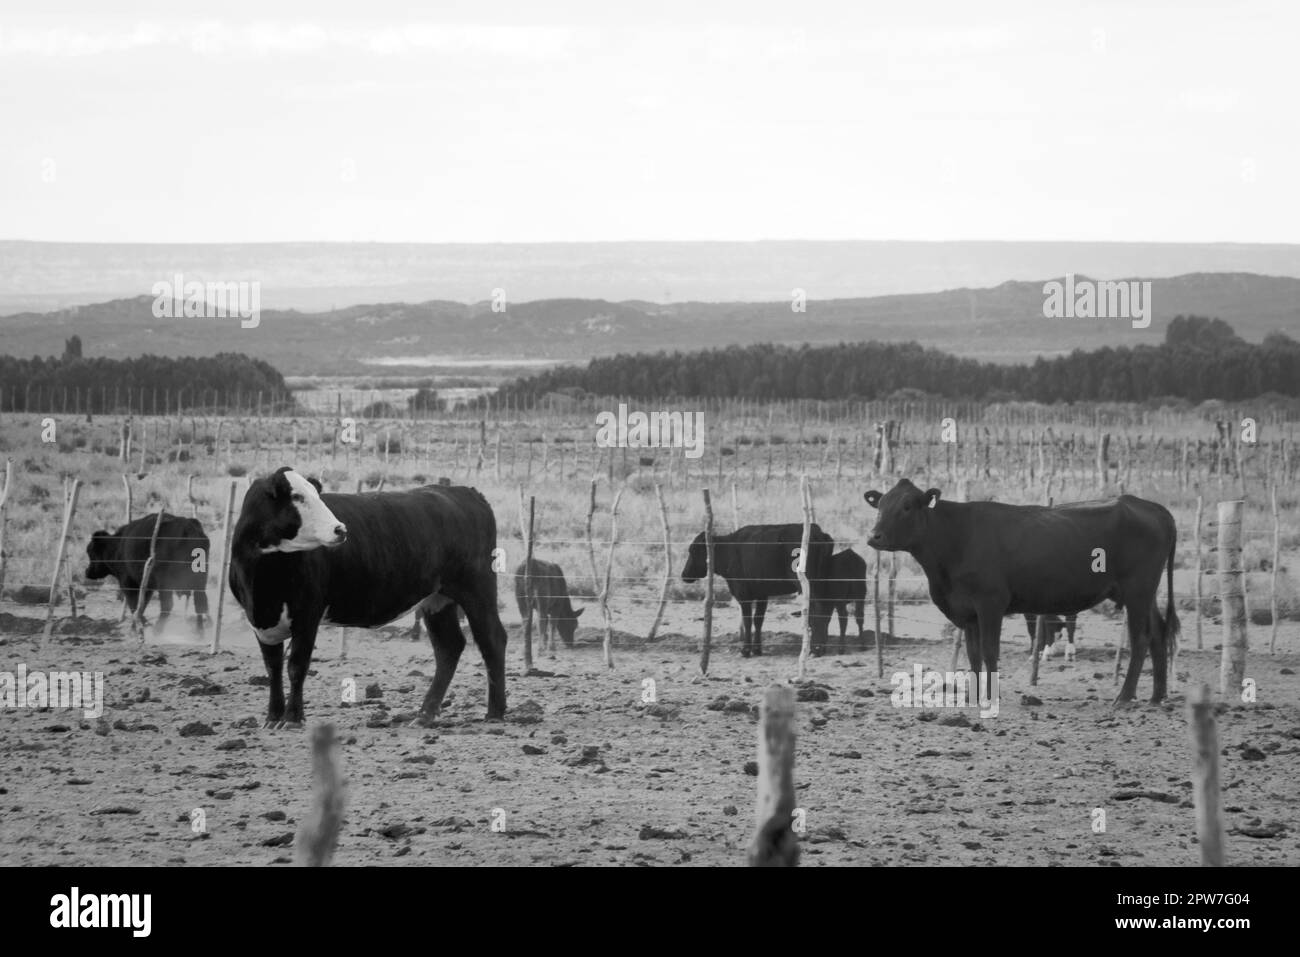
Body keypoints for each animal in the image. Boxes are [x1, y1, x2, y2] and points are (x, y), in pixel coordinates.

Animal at [229, 467, 507, 727]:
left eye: (317, 495)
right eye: (297, 496)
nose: (340, 529)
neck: (263, 583)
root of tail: (464, 492)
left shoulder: (308, 614)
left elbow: (296, 666)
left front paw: (292, 718)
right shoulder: (259, 621)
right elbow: (272, 667)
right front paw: (272, 717)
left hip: (477, 588)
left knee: (492, 640)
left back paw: (495, 712)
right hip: (437, 600)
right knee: (448, 647)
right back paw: (425, 715)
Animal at [680, 523, 835, 657]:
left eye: (693, 551)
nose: (684, 575)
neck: (728, 549)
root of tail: (818, 533)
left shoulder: (743, 594)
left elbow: (748, 621)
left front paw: (745, 650)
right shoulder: (762, 594)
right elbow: (758, 620)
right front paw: (757, 649)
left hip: (809, 585)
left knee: (818, 609)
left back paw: (816, 649)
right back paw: (822, 647)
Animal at [863, 479, 1179, 704]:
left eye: (906, 506)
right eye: (880, 505)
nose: (874, 536)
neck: (956, 538)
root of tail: (1153, 507)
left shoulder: (990, 603)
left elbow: (990, 651)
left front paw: (991, 697)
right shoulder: (968, 613)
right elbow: (973, 654)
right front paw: (974, 697)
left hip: (1137, 591)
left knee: (1141, 638)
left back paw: (1124, 697)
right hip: (1142, 593)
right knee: (1158, 632)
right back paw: (1157, 695)